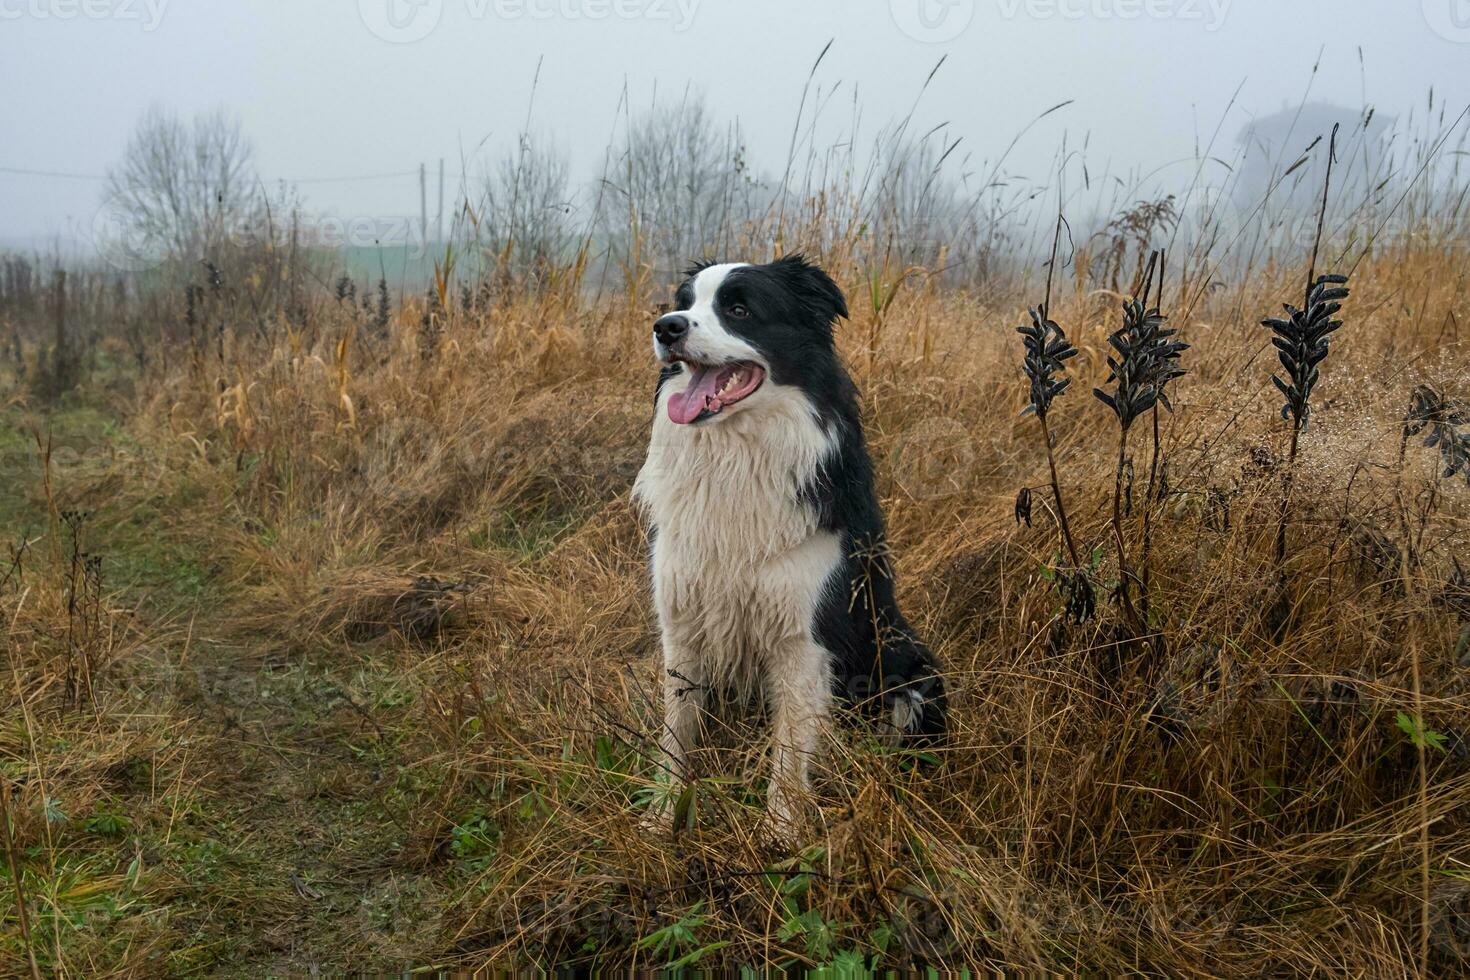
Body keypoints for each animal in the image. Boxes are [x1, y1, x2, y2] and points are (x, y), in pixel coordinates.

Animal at [637, 255, 946, 834]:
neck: (735, 459)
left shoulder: (804, 639)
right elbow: (676, 733)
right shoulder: (682, 623)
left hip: (912, 676)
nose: (666, 328)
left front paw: (779, 835)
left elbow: (788, 749)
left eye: (738, 309)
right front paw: (659, 819)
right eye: (684, 303)